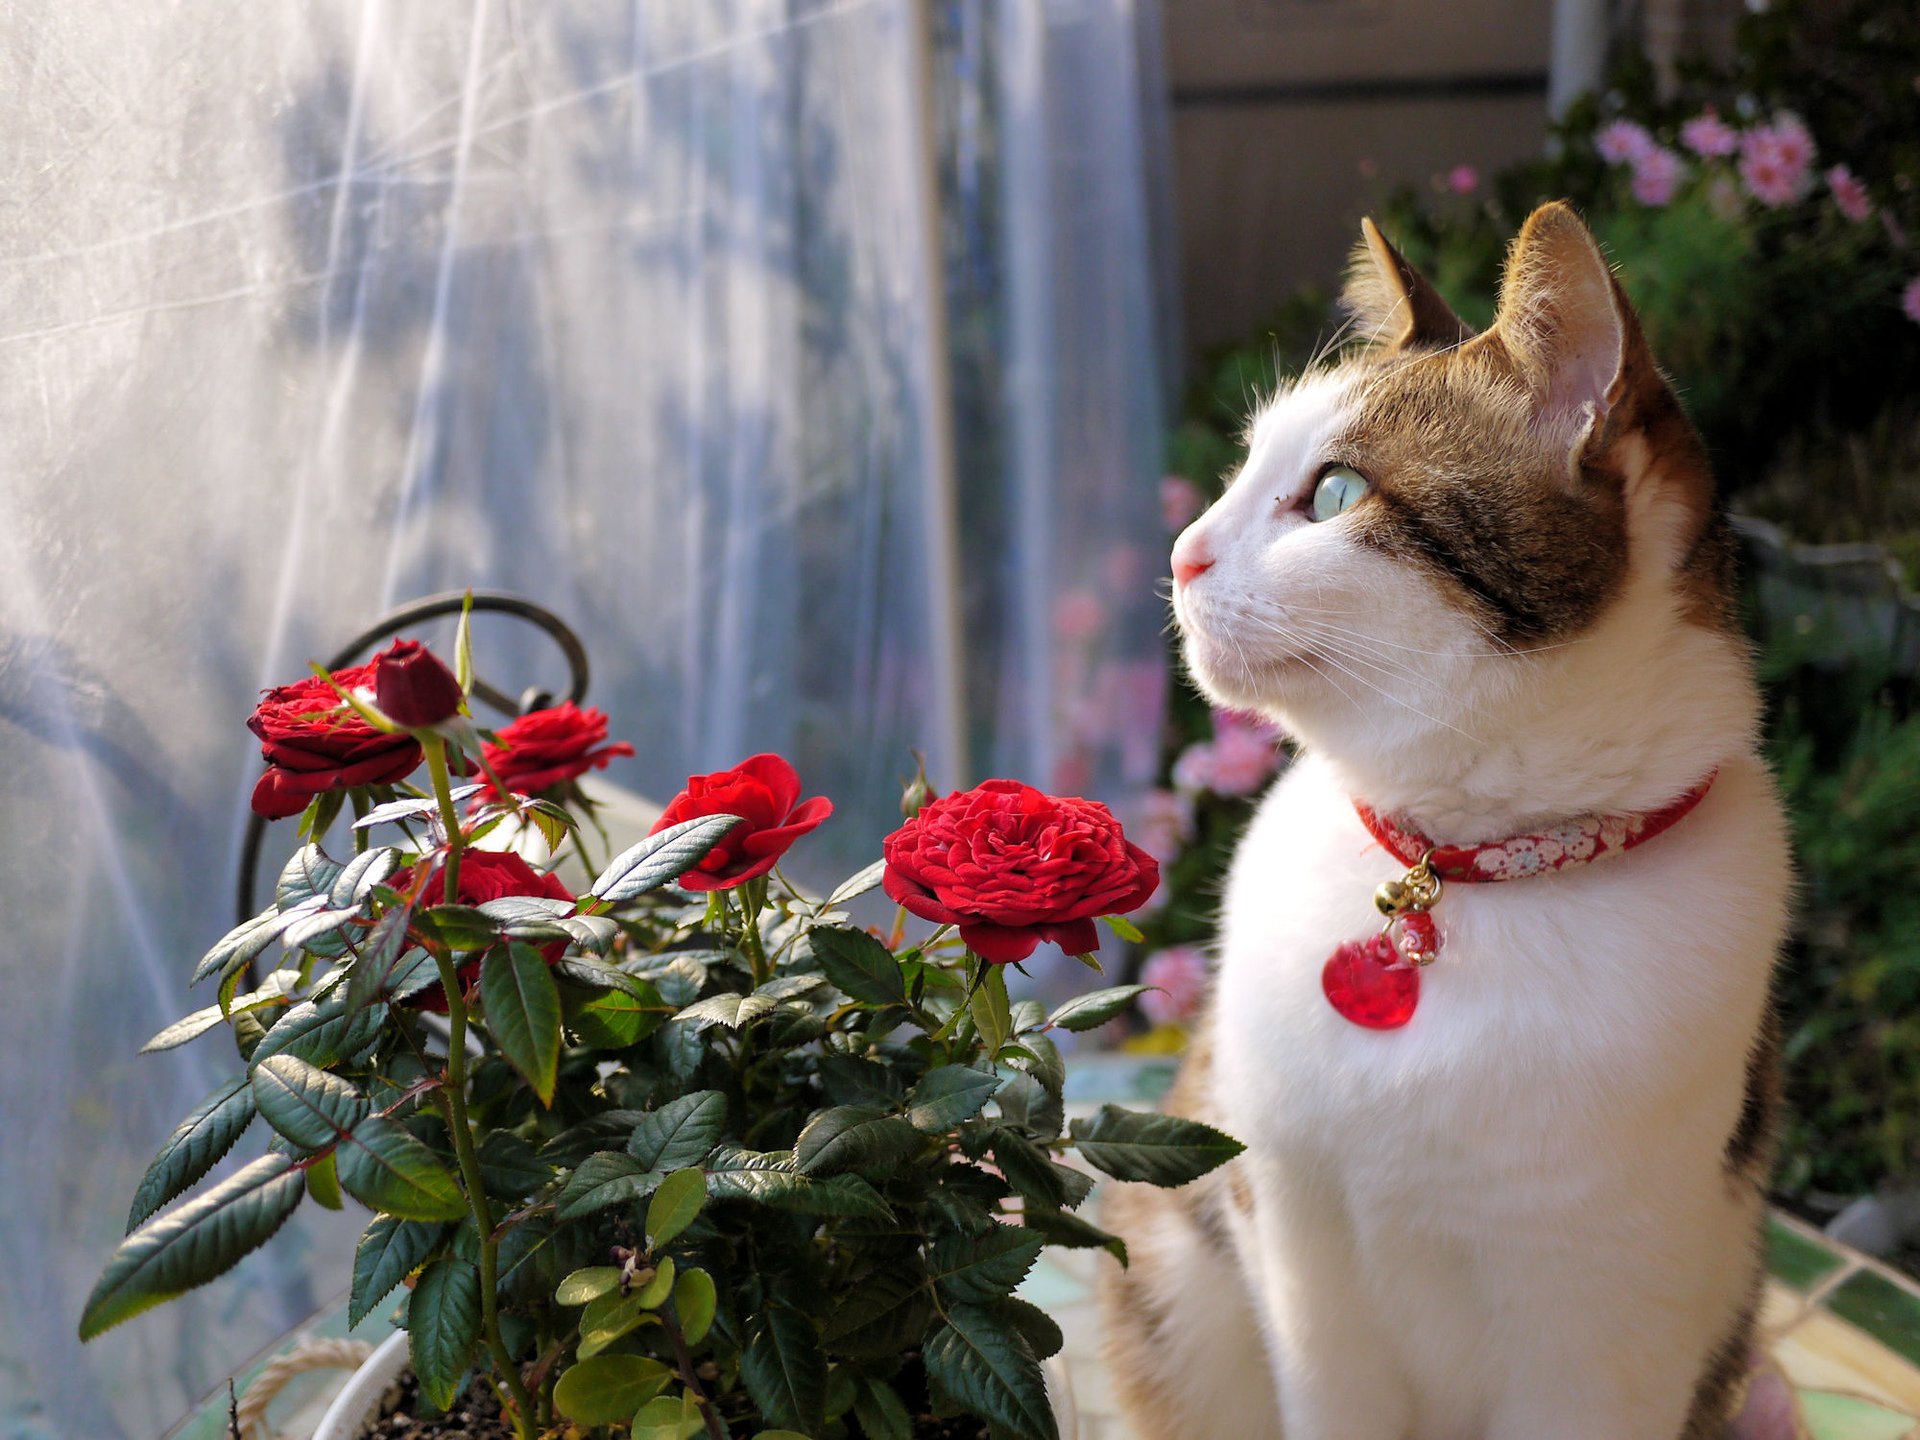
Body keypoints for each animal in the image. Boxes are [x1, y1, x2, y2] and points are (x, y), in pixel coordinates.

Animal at [1105, 205, 1789, 1440]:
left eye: (1334, 495)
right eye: (1241, 469)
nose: (1181, 552)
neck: (1463, 864)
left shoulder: (1601, 1328)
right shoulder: (1303, 1258)